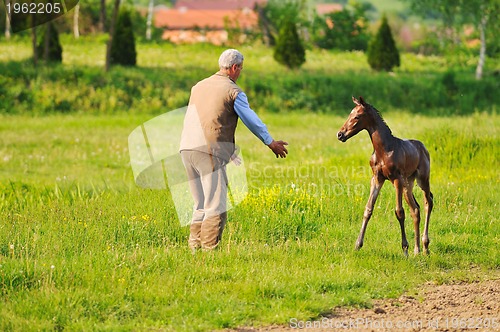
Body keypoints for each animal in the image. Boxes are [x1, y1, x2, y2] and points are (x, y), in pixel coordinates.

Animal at [338, 97, 432, 255]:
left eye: (357, 116)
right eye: (350, 114)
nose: (340, 134)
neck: (384, 150)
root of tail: (424, 148)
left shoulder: (397, 180)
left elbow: (399, 212)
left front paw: (404, 249)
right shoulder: (377, 178)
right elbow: (368, 209)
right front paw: (357, 245)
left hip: (422, 179)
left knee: (428, 202)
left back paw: (425, 247)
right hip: (408, 184)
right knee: (415, 209)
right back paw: (417, 250)